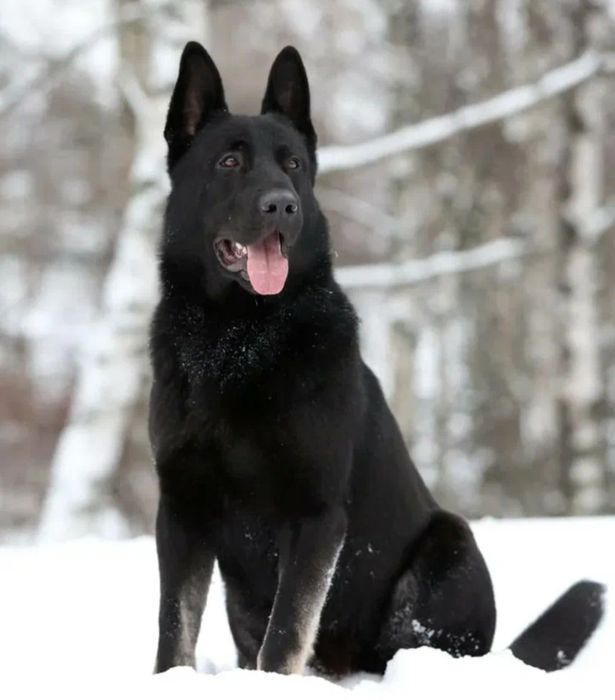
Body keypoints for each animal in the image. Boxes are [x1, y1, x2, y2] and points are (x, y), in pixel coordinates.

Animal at [149, 42, 604, 678]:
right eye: (229, 162)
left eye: (293, 165)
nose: (283, 206)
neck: (237, 339)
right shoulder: (180, 511)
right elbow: (174, 629)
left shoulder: (316, 517)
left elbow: (286, 633)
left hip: (451, 548)